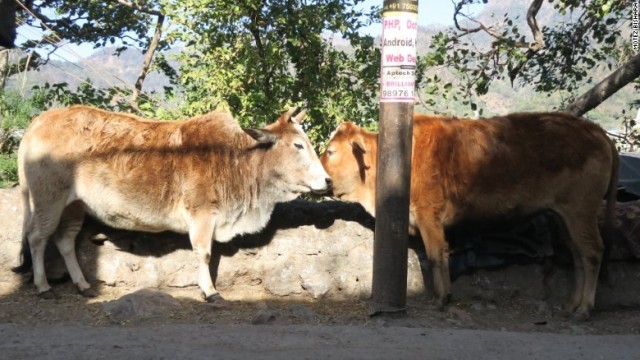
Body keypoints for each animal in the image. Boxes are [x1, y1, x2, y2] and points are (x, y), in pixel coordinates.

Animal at [12, 105, 332, 300]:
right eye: (298, 145)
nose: (328, 181)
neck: (238, 159)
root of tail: (37, 122)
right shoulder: (201, 214)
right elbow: (203, 254)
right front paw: (210, 291)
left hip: (74, 205)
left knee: (65, 241)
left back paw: (82, 284)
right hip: (48, 199)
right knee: (38, 238)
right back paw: (43, 286)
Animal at [322, 112, 616, 318]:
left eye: (331, 151)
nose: (321, 177)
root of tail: (596, 130)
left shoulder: (429, 215)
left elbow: (436, 256)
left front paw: (440, 299)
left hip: (580, 212)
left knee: (592, 253)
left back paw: (584, 308)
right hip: (565, 217)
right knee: (578, 256)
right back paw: (571, 303)